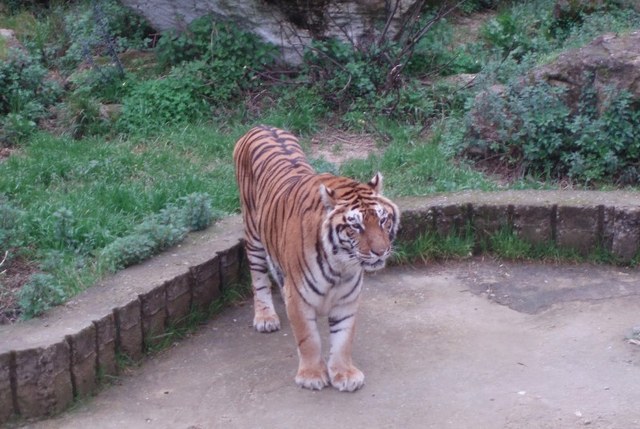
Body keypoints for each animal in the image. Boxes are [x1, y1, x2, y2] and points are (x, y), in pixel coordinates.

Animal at [232, 124, 398, 392]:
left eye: (383, 220)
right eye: (356, 226)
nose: (381, 251)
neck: (340, 266)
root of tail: (262, 125)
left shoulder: (347, 299)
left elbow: (343, 339)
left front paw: (344, 374)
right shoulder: (299, 298)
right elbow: (309, 339)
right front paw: (311, 376)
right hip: (253, 233)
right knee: (258, 277)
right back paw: (266, 317)